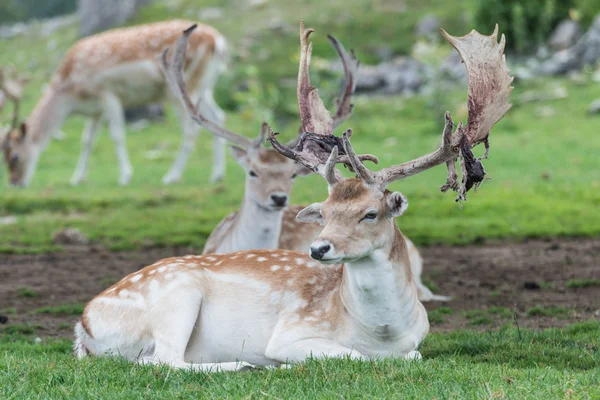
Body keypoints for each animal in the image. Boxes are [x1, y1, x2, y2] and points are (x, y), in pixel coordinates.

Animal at [0, 21, 229, 189]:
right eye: (4, 159)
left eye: (15, 157)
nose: (14, 184)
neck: (72, 97)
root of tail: (219, 41)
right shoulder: (94, 112)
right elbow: (87, 141)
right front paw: (77, 179)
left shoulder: (107, 94)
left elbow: (117, 136)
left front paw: (125, 176)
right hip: (204, 86)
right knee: (217, 117)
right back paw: (217, 175)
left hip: (181, 88)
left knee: (191, 129)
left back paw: (171, 176)